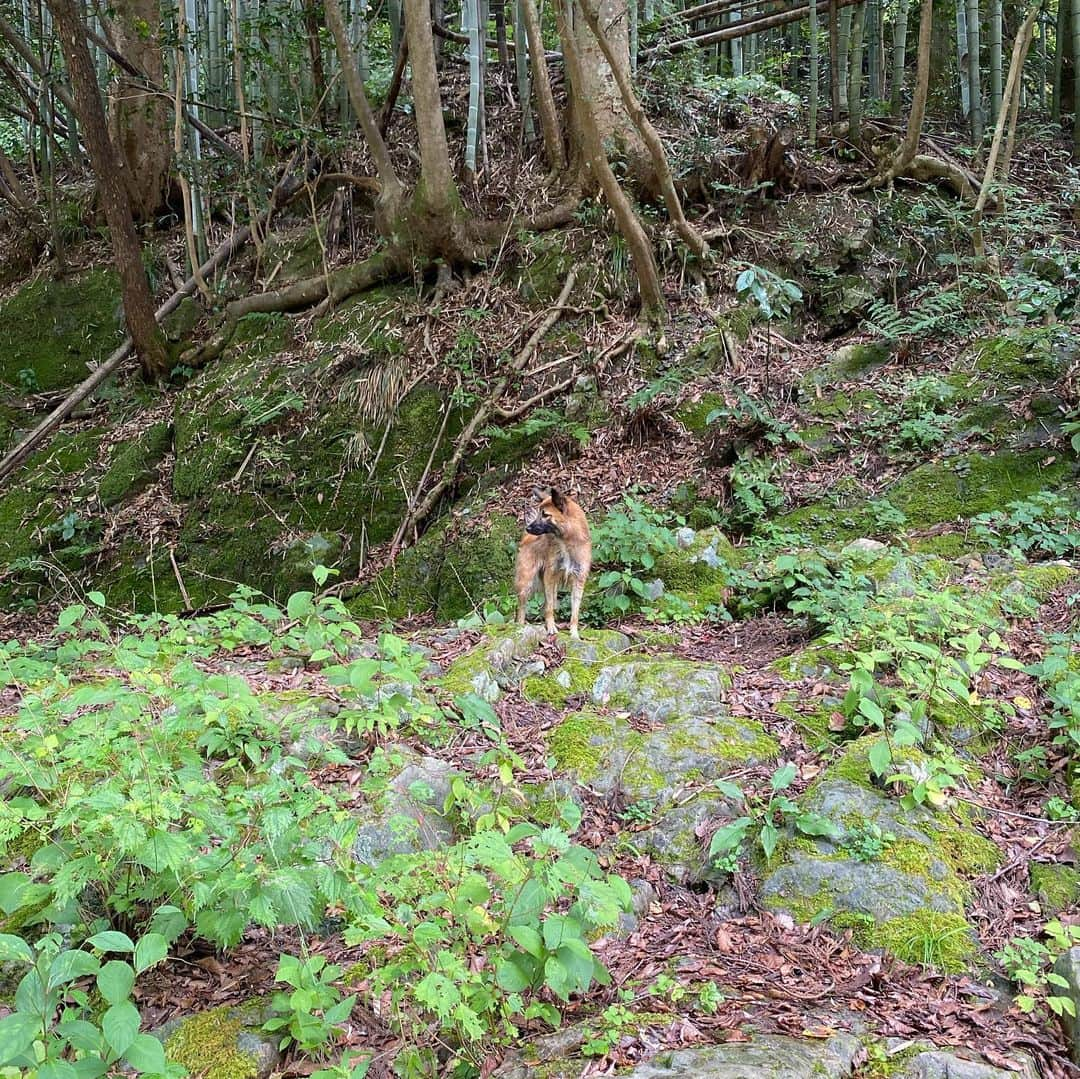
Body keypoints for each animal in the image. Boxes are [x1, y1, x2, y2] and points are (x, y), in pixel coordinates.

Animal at [514, 490, 591, 639]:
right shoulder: (550, 576)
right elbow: (548, 608)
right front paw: (551, 628)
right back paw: (520, 626)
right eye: (539, 513)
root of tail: (526, 538)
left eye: (545, 515)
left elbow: (575, 613)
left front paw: (574, 633)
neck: (567, 542)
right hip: (526, 582)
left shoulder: (578, 580)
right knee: (522, 608)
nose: (528, 528)